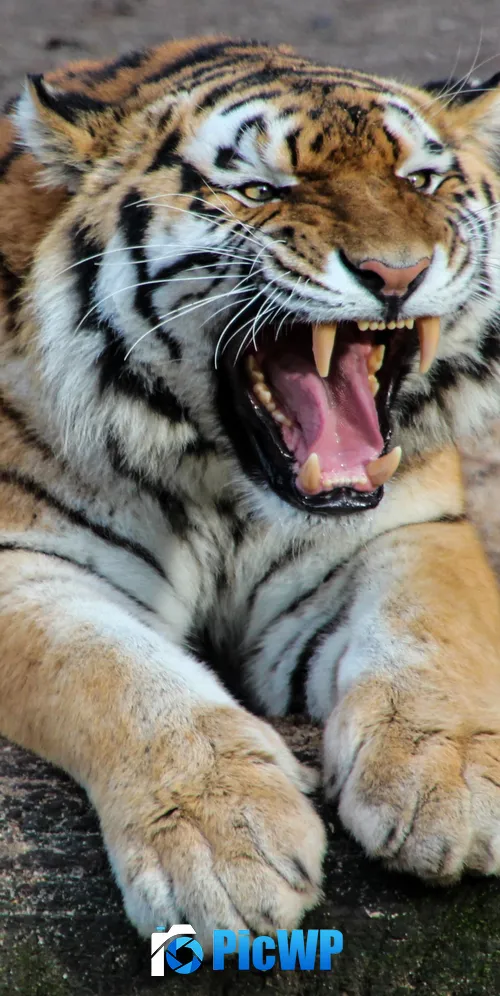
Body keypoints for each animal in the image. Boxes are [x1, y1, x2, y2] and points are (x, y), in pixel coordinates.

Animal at [1, 35, 500, 947]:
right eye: (261, 191)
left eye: (420, 181)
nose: (397, 273)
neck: (226, 486)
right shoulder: (25, 564)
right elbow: (116, 673)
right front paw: (223, 845)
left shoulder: (406, 529)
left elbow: (431, 631)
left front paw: (446, 784)